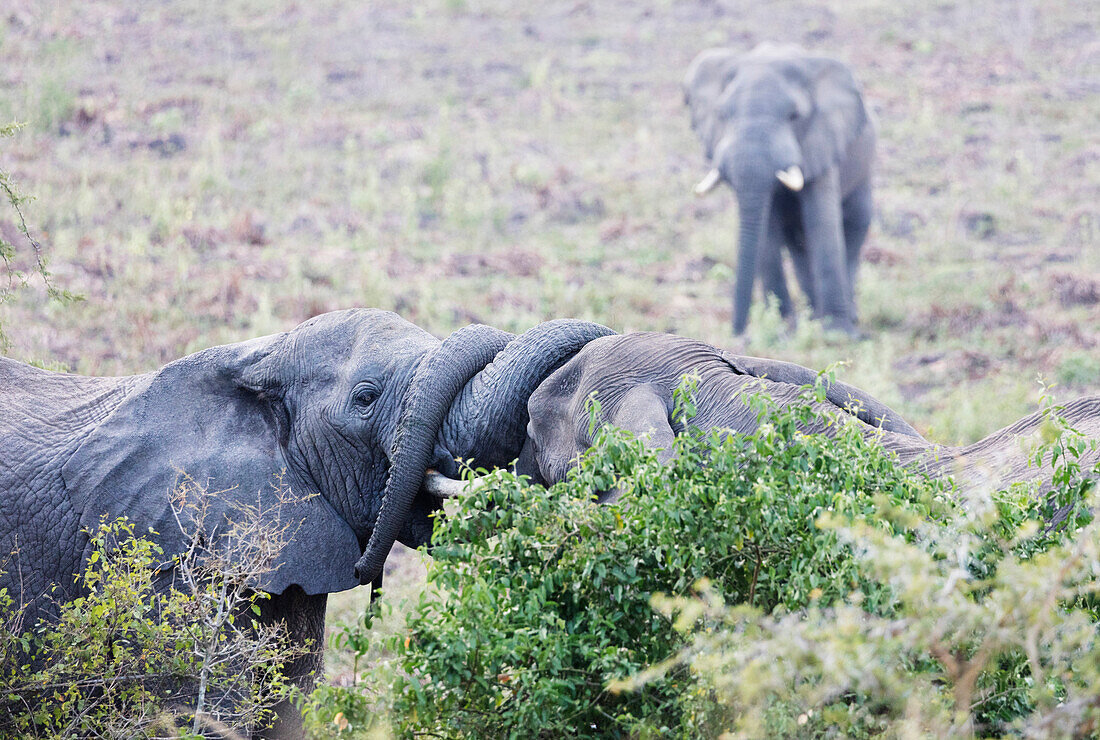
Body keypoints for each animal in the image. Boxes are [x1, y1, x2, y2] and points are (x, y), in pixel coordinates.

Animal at [686, 41, 875, 336]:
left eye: (794, 116)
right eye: (723, 115)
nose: (740, 334)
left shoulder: (821, 139)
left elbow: (822, 222)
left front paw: (837, 335)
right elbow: (767, 228)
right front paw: (781, 332)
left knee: (855, 225)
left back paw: (842, 318)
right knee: (797, 242)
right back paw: (811, 315)